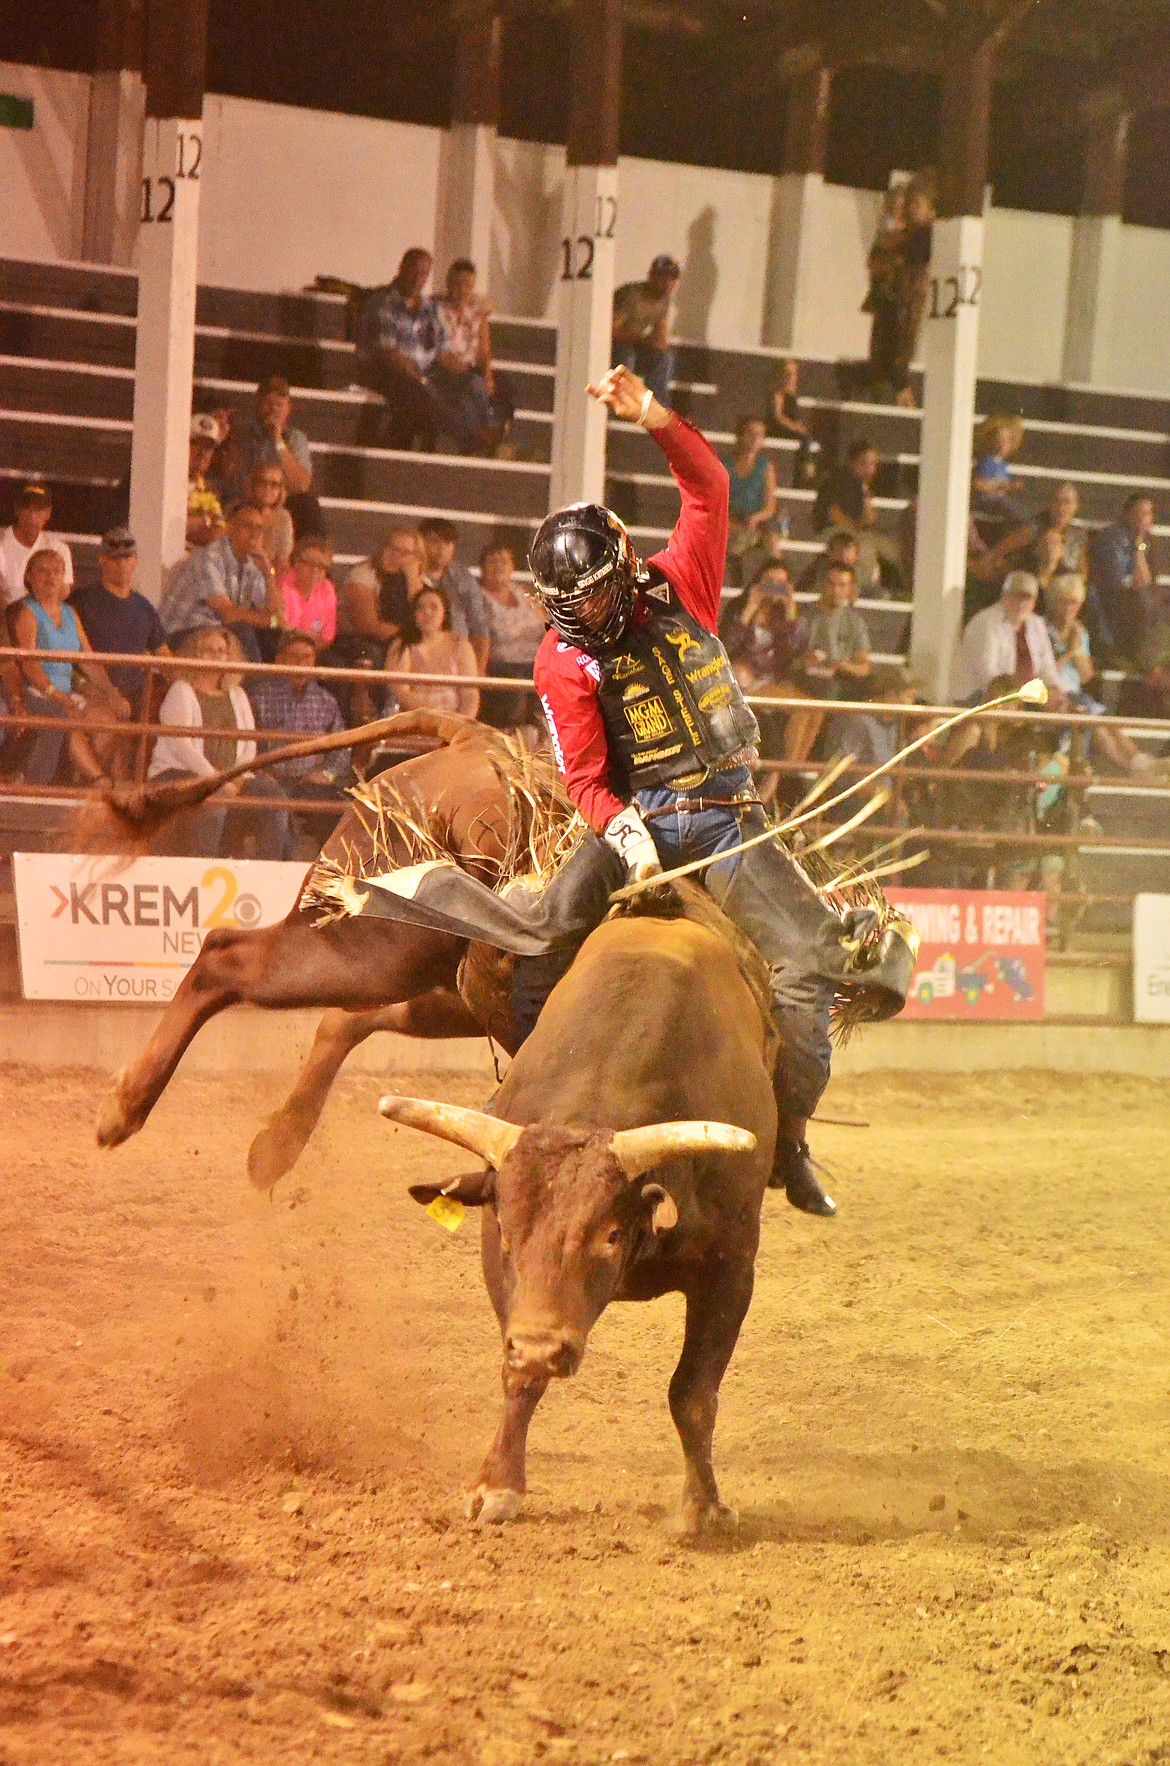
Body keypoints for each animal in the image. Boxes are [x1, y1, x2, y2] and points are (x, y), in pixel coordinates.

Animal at [377, 911, 776, 1532]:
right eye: (508, 1234)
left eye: (609, 1235)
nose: (545, 1349)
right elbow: (517, 1377)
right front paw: (496, 1486)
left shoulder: (732, 1269)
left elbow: (693, 1393)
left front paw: (702, 1506)